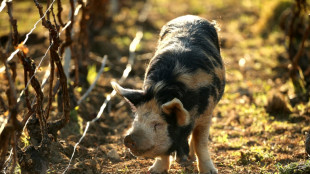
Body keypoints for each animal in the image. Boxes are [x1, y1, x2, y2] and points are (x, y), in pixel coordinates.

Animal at [111, 15, 225, 174]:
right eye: (136, 119)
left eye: (157, 124)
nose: (128, 138)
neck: (161, 91)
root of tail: (190, 16)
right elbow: (164, 152)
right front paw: (154, 171)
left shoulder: (207, 112)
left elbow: (200, 143)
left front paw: (209, 171)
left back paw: (188, 159)